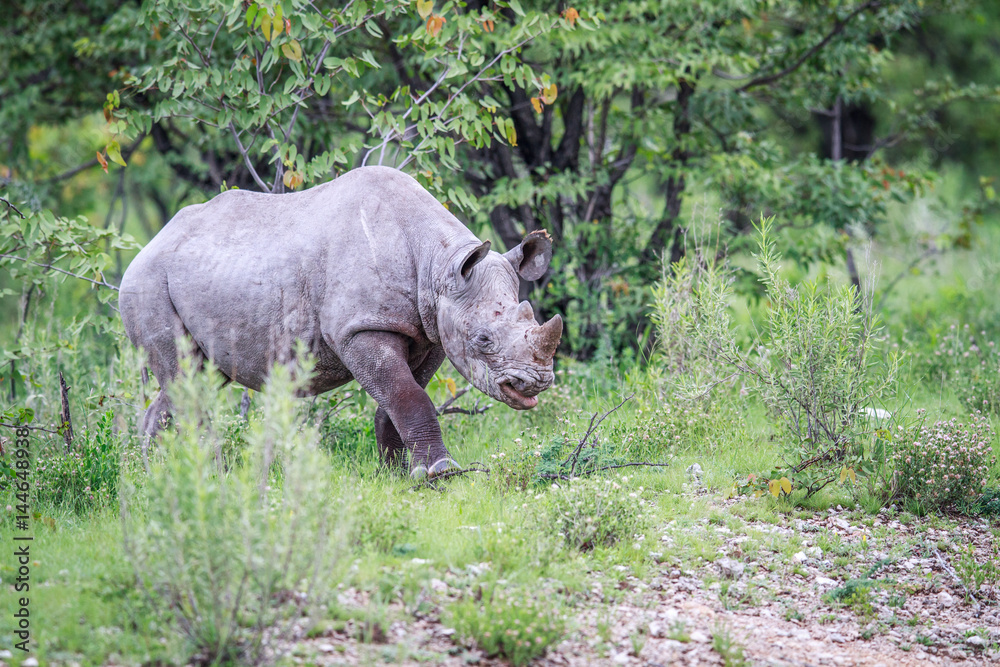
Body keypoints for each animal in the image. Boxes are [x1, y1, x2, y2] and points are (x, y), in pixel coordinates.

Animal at [119, 166, 562, 477]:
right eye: (484, 339)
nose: (536, 383)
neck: (439, 264)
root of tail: (148, 244)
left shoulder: (432, 330)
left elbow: (398, 400)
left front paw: (397, 474)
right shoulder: (358, 329)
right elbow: (409, 397)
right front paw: (441, 471)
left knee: (196, 378)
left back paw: (155, 477)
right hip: (147, 283)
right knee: (186, 380)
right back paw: (210, 477)